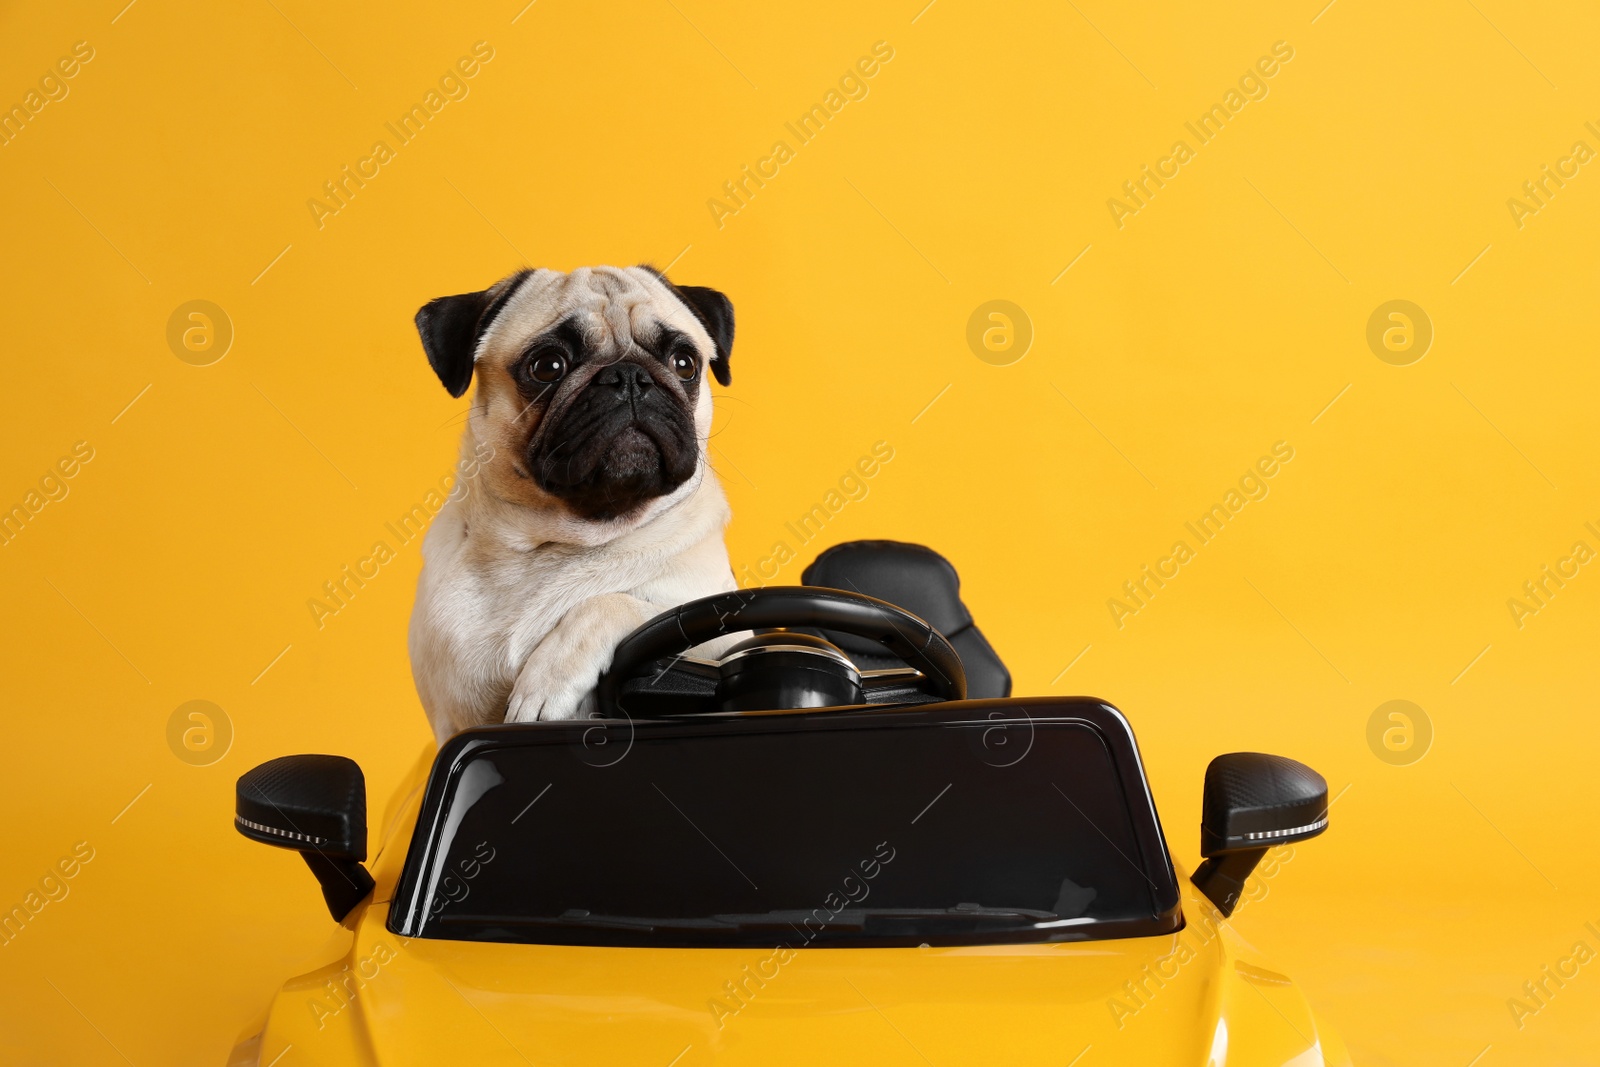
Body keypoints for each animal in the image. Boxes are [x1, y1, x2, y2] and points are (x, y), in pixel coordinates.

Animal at [409, 265, 739, 742]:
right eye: (548, 366)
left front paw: (545, 682)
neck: (562, 541)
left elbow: (612, 604)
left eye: (684, 363)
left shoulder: (722, 633)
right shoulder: (452, 721)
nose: (628, 376)